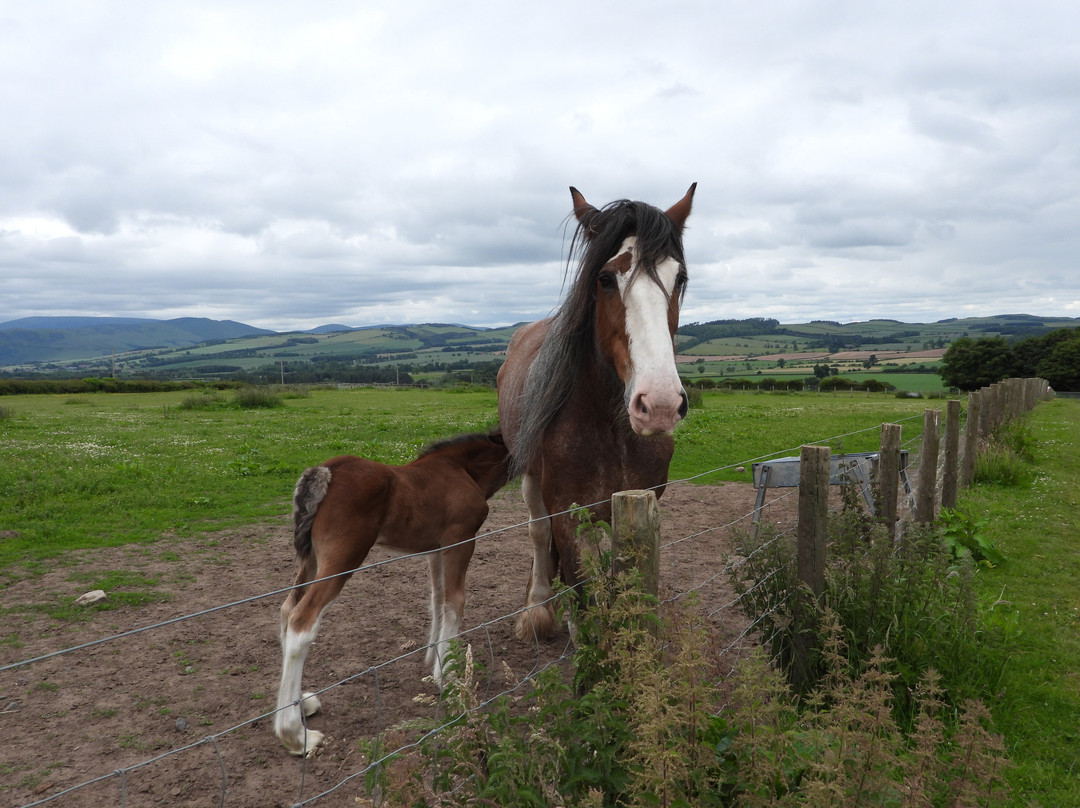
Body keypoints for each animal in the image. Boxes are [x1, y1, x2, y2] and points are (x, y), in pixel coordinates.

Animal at [274, 430, 510, 757]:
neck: (463, 469)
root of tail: (325, 471)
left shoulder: (437, 548)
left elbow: (436, 599)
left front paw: (433, 660)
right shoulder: (461, 540)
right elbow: (455, 602)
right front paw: (448, 678)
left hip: (311, 560)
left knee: (287, 610)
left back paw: (300, 707)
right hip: (341, 561)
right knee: (302, 621)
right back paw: (296, 735)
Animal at [496, 184, 696, 641]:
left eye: (679, 278)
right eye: (604, 279)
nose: (659, 404)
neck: (611, 429)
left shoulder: (639, 504)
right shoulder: (570, 516)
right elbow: (587, 600)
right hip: (530, 476)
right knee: (537, 533)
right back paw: (539, 610)